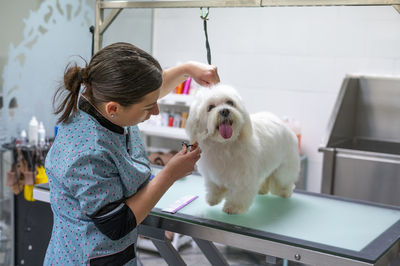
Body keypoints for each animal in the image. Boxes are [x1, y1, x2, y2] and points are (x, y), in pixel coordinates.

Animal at [186, 84, 298, 214]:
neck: (224, 145)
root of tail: (283, 124)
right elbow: (214, 187)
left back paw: (285, 192)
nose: (224, 110)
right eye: (210, 107)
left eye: (230, 102)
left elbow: (239, 193)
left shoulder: (243, 177)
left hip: (285, 168)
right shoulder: (211, 174)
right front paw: (213, 199)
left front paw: (233, 207)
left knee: (285, 180)